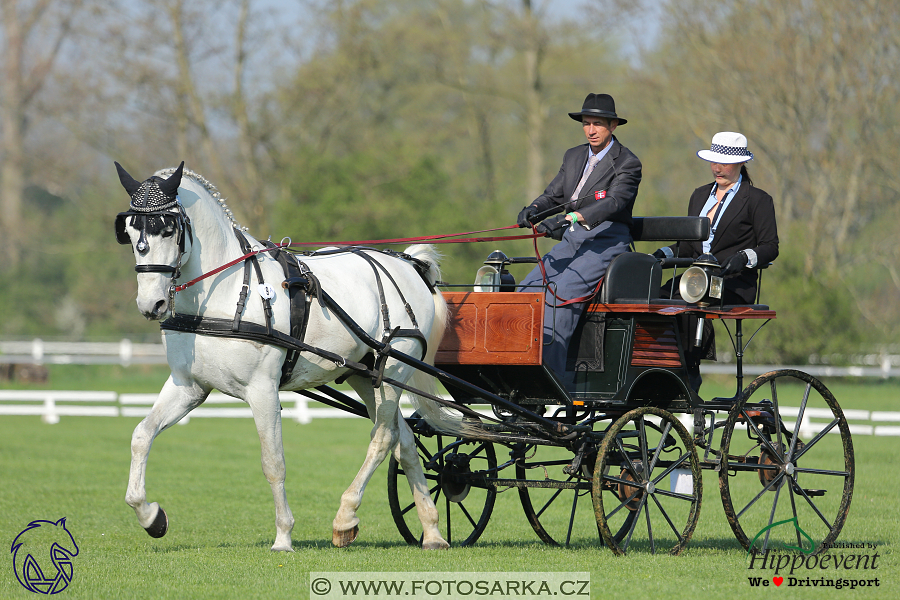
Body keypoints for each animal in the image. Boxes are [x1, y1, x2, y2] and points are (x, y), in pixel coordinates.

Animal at [115, 162, 458, 552]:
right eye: (130, 231)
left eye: (168, 229)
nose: (151, 304)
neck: (224, 293)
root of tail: (410, 265)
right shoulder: (188, 387)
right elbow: (141, 435)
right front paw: (151, 517)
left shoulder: (262, 390)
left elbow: (273, 462)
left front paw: (283, 535)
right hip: (367, 375)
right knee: (404, 441)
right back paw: (432, 532)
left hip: (395, 370)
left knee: (383, 437)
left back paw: (346, 517)